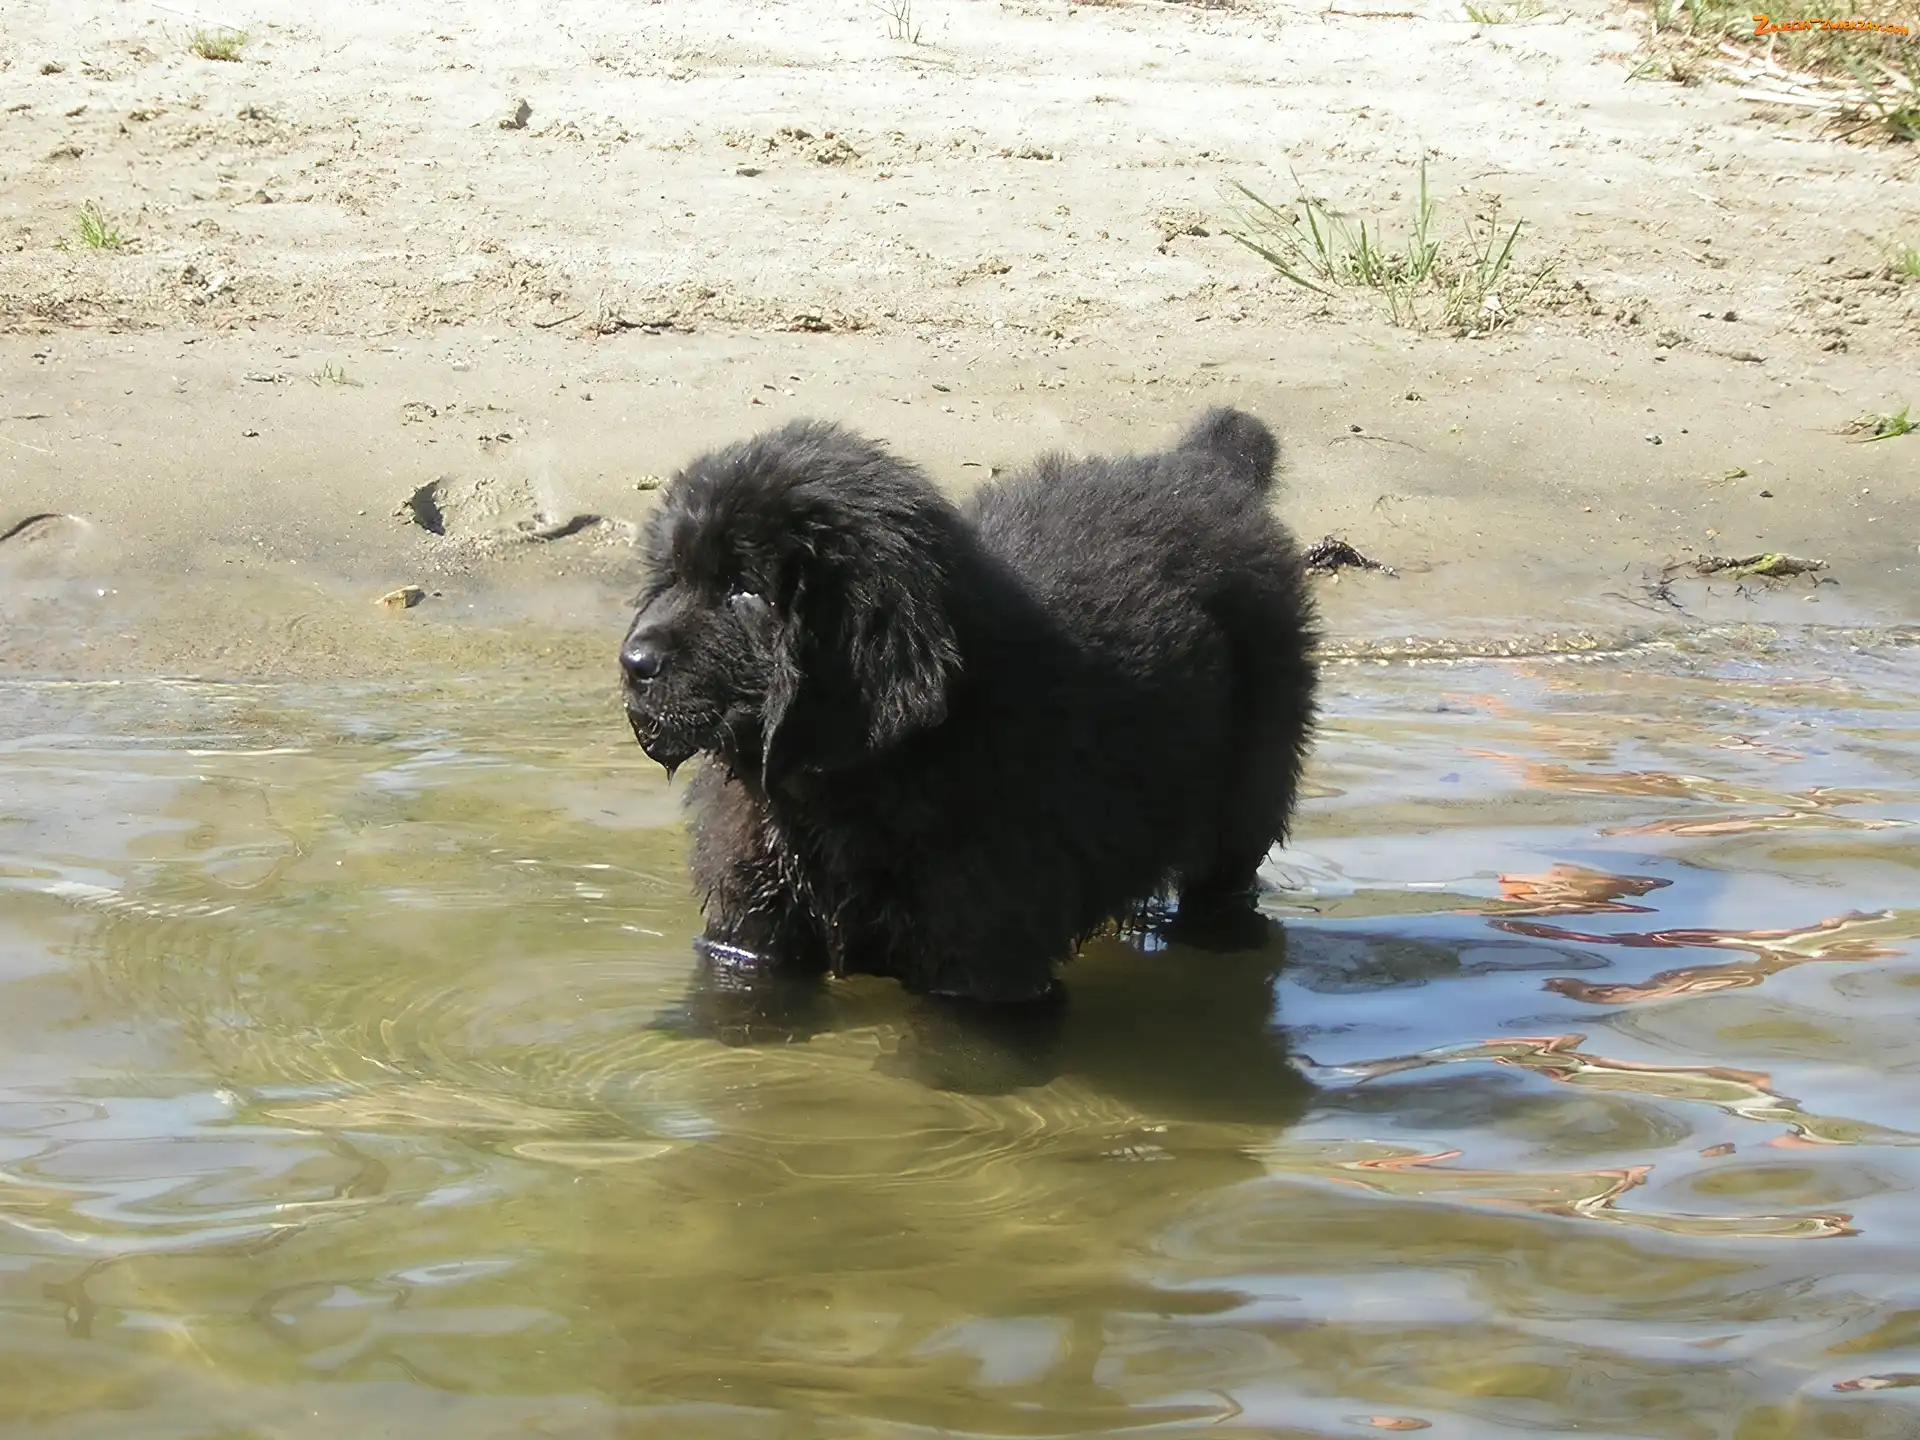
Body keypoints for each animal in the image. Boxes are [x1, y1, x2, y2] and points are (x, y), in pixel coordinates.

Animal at [620, 408, 1318, 1004]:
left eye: (744, 590)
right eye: (671, 577)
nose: (632, 663)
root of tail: (1205, 469)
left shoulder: (983, 958)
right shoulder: (750, 932)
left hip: (1247, 794)